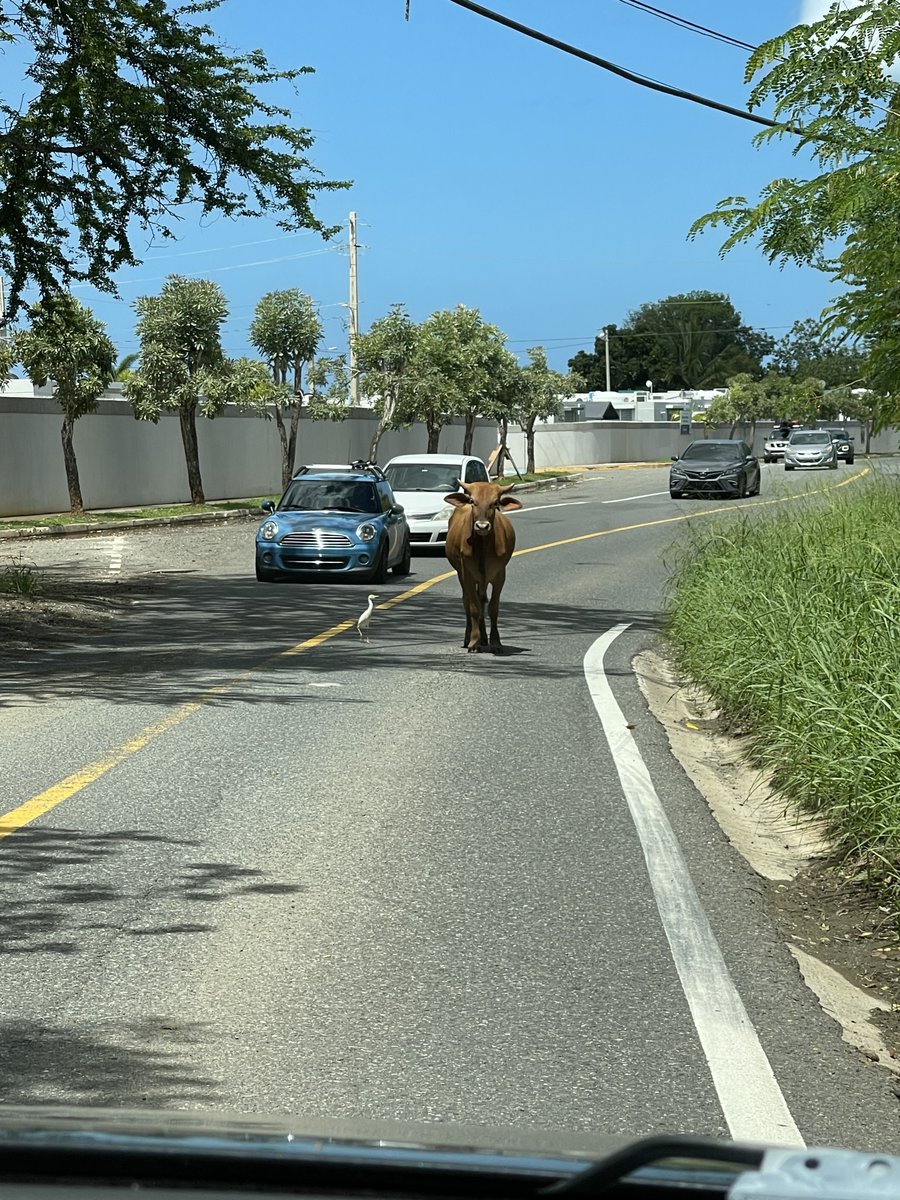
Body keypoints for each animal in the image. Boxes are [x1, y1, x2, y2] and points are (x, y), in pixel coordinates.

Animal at [441, 477, 520, 652]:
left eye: (495, 503)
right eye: (472, 501)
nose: (482, 526)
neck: (483, 546)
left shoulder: (499, 575)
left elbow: (493, 608)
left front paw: (496, 642)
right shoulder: (468, 575)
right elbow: (474, 608)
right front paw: (473, 641)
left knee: (482, 599)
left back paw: (484, 638)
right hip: (463, 575)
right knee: (468, 601)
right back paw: (469, 637)